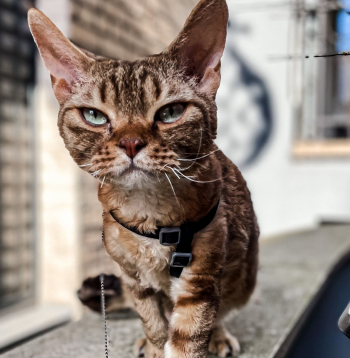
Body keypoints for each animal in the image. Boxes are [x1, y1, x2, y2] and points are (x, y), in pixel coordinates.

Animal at [28, 1, 258, 356]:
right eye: (94, 116)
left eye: (170, 113)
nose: (131, 143)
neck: (149, 210)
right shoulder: (134, 277)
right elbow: (152, 321)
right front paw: (153, 344)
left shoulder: (201, 277)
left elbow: (190, 334)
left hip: (242, 275)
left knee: (222, 310)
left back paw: (219, 336)